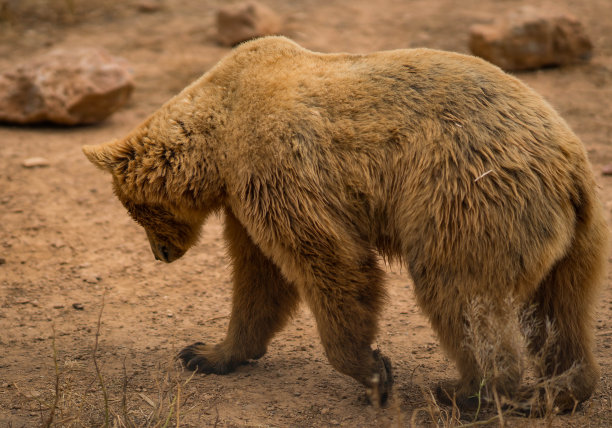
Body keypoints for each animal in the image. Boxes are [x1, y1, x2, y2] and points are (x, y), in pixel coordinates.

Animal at [81, 36, 608, 412]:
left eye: (134, 210)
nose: (160, 254)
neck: (221, 138)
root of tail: (568, 163)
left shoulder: (277, 165)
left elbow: (329, 261)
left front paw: (374, 371)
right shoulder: (243, 201)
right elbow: (259, 278)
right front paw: (206, 352)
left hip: (467, 198)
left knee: (460, 292)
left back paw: (465, 392)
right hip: (578, 236)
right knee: (563, 309)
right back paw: (559, 389)